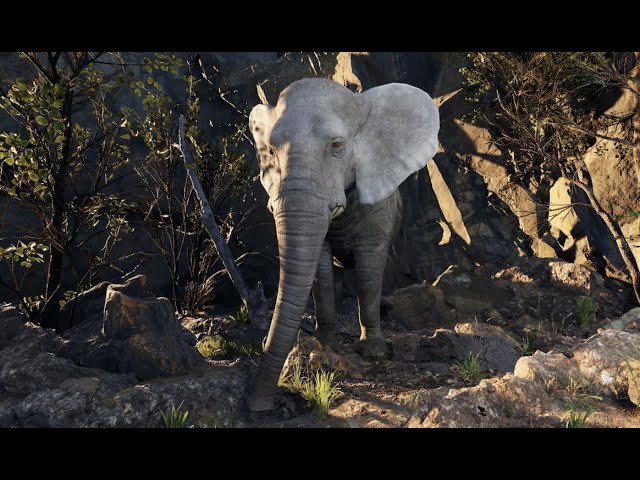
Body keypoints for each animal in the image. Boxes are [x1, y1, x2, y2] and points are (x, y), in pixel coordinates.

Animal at [247, 77, 439, 411]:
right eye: (270, 150)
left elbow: (369, 273)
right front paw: (327, 348)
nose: (259, 404)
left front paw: (373, 351)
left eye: (337, 146)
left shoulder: (378, 205)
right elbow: (320, 275)